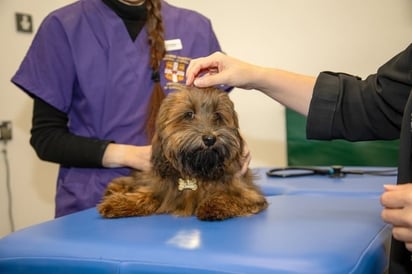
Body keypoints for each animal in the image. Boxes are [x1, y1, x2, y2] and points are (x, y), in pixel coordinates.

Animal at [98, 85, 268, 220]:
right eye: (189, 114)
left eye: (217, 115)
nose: (209, 139)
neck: (197, 169)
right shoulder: (161, 188)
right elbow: (146, 195)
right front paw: (118, 203)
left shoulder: (250, 195)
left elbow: (228, 196)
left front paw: (213, 205)